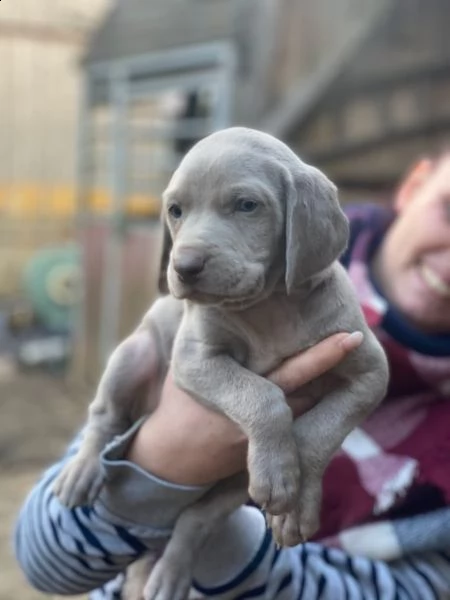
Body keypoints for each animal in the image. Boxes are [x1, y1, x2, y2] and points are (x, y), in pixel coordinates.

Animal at [53, 127, 390, 600]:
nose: (184, 266)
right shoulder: (194, 357)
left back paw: (169, 573)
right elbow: (262, 394)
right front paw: (282, 475)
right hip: (134, 355)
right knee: (104, 416)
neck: (270, 308)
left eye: (247, 205)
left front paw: (295, 504)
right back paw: (82, 471)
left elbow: (320, 431)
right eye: (175, 211)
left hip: (232, 484)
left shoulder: (370, 371)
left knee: (194, 520)